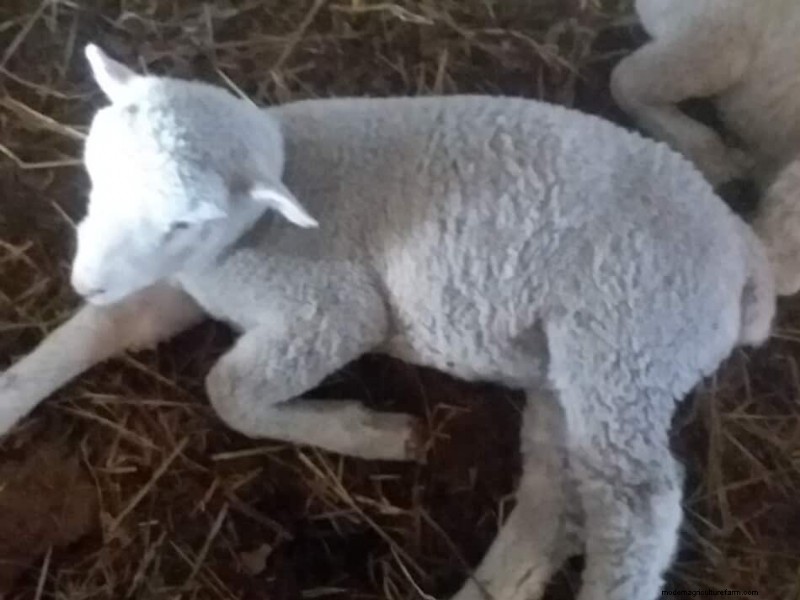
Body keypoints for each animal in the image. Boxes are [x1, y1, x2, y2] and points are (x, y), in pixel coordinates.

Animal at [0, 44, 775, 600]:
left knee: (637, 508)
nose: (86, 278)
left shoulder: (330, 309)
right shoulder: (191, 280)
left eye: (184, 219)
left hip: (628, 336)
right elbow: (103, 330)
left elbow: (230, 391)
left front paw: (369, 432)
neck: (259, 228)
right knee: (557, 498)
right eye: (96, 170)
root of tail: (742, 250)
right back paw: (491, 588)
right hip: (574, 364)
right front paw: (12, 395)